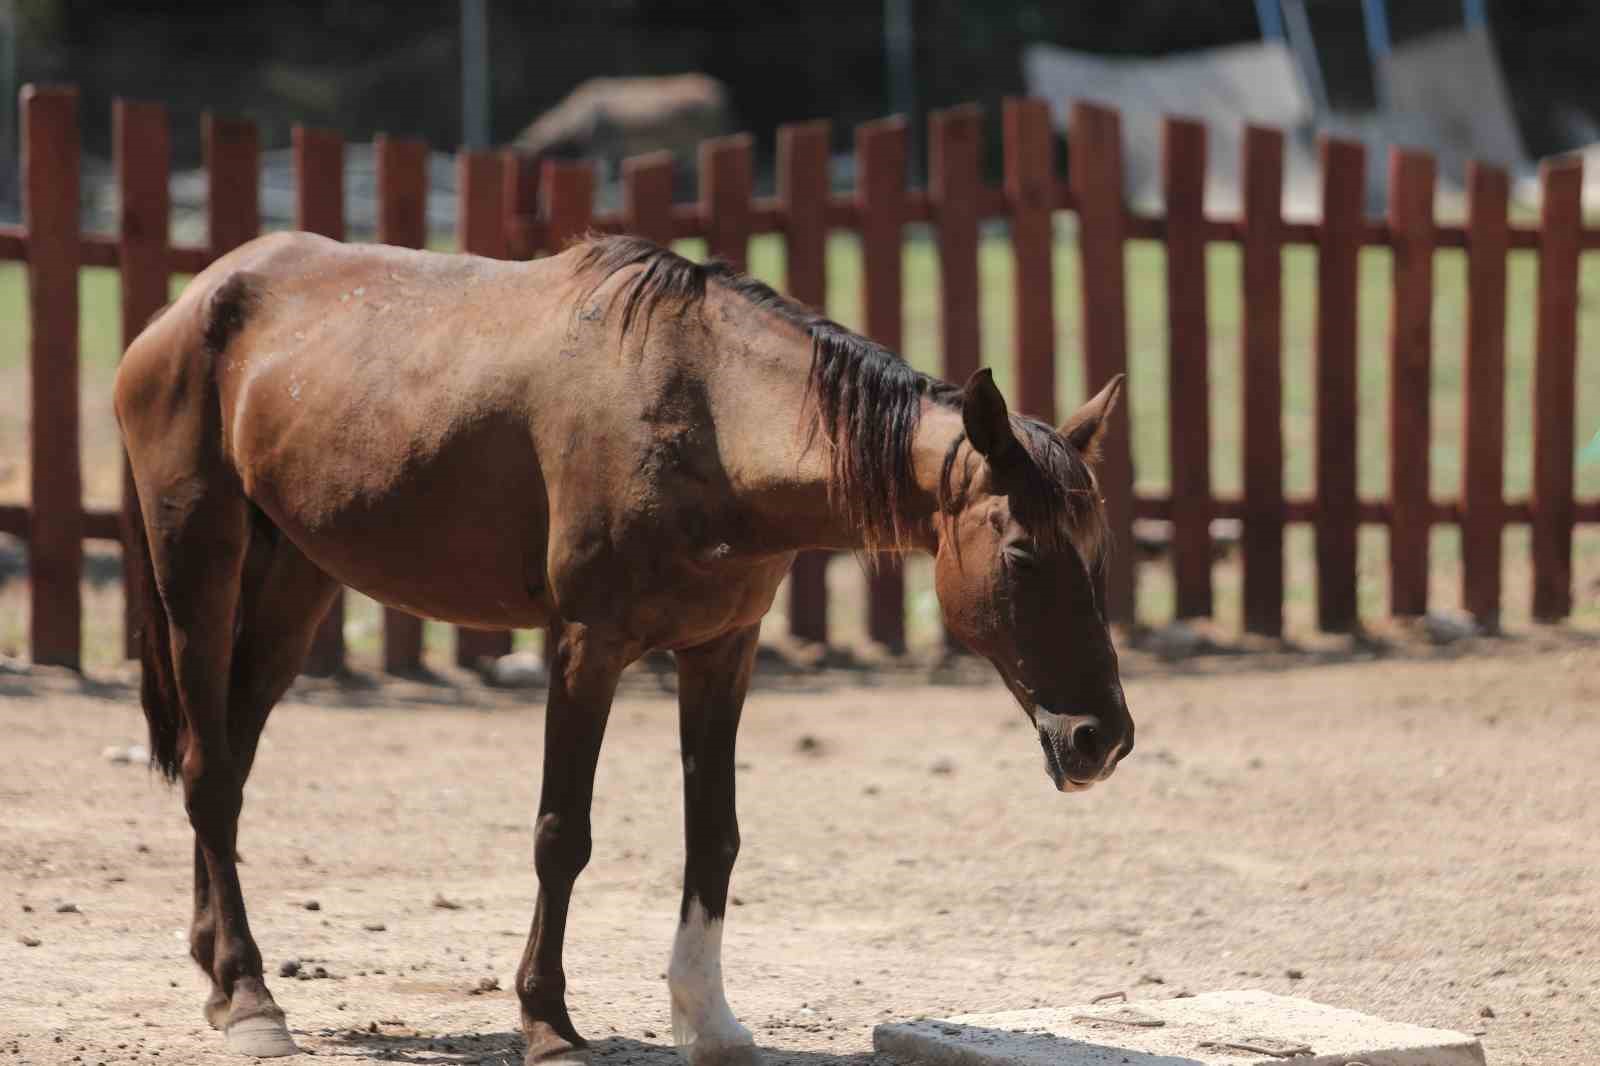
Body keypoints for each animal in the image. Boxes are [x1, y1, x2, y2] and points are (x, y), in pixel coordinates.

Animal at [112, 232, 1132, 1062]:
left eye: (1098, 550)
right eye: (1022, 553)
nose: (1101, 740)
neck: (709, 414)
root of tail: (189, 305)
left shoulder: (722, 651)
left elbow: (714, 834)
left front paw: (707, 1021)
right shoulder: (586, 647)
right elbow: (563, 834)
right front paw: (547, 1023)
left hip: (295, 578)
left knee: (231, 758)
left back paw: (217, 970)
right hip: (199, 565)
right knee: (208, 771)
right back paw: (251, 998)